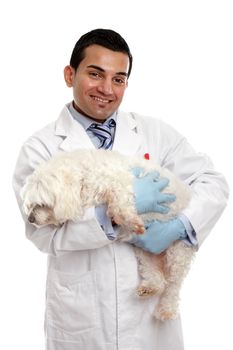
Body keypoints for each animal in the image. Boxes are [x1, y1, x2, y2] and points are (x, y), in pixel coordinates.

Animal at [21, 149, 195, 322]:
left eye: (42, 204)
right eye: (31, 205)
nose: (30, 219)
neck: (85, 176)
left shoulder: (121, 182)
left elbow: (120, 200)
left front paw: (130, 220)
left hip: (178, 250)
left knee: (173, 284)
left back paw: (166, 309)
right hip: (145, 251)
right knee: (156, 276)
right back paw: (150, 288)